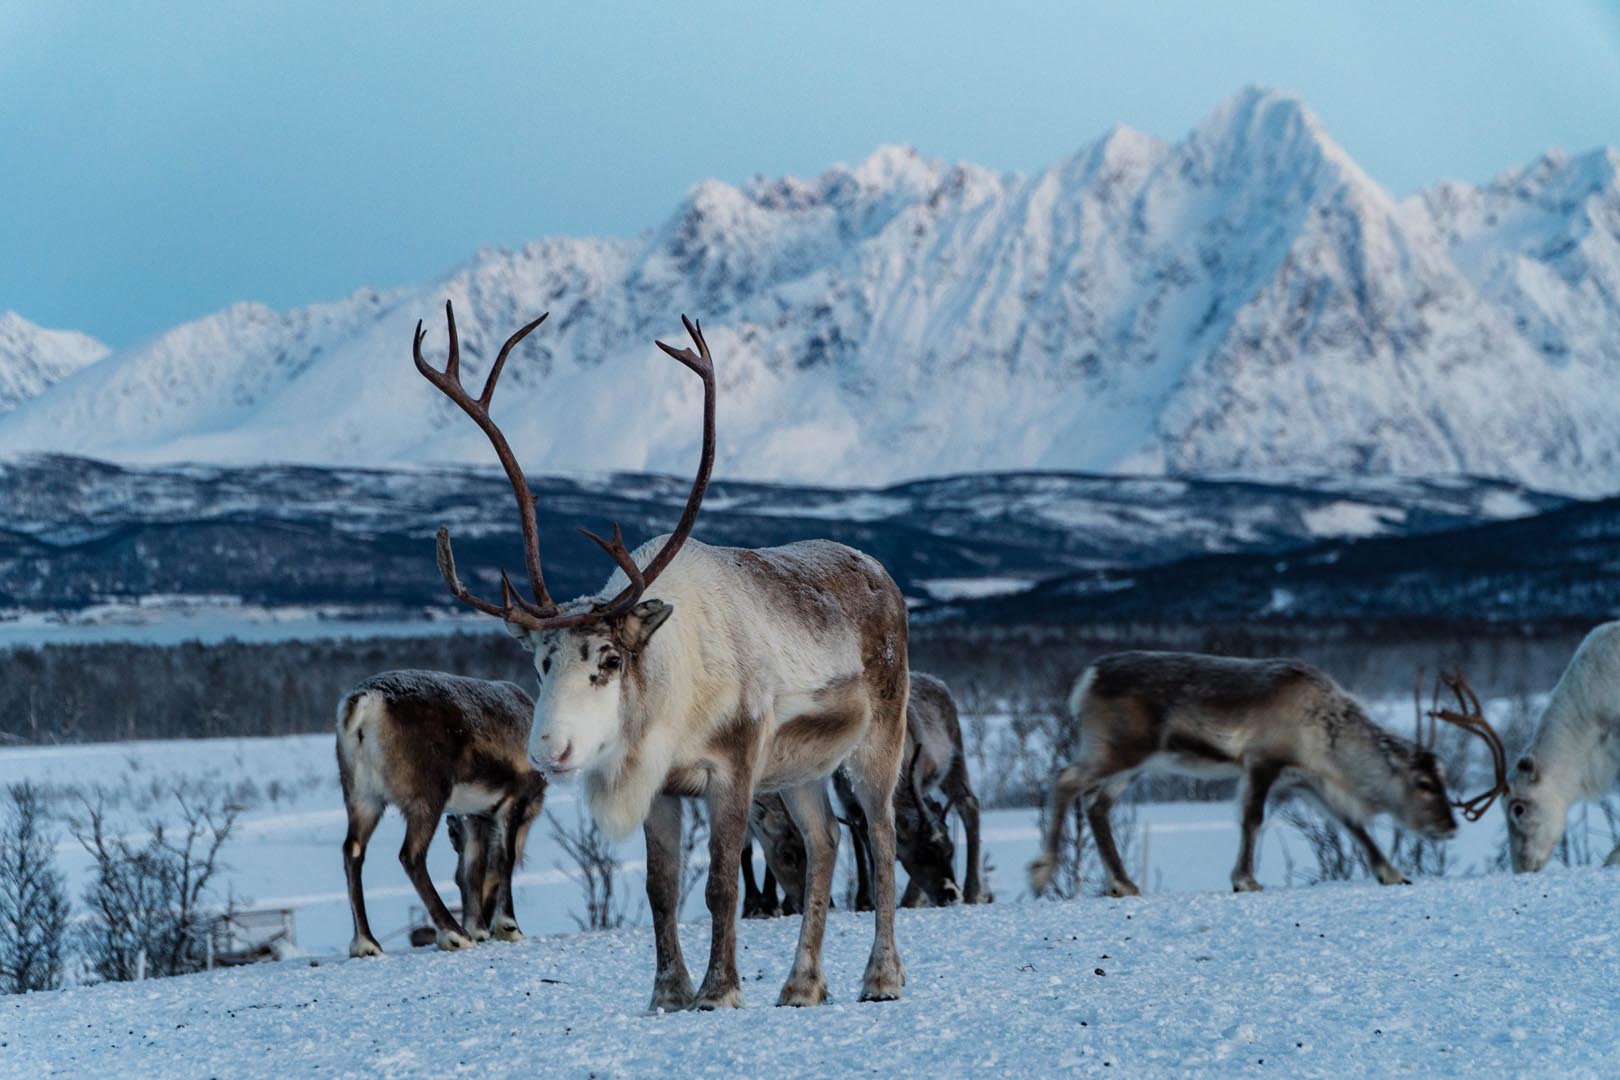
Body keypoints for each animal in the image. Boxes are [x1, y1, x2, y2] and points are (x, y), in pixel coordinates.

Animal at [336, 670, 548, 957]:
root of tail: (365, 703)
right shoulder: (514, 801)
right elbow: (504, 860)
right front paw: (507, 926)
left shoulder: (472, 814)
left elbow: (470, 869)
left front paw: (478, 928)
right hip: (426, 797)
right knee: (410, 854)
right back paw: (453, 934)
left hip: (362, 797)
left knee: (353, 850)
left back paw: (365, 943)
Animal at [413, 302, 909, 1009]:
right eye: (541, 662)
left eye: (610, 660)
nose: (550, 751)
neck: (669, 697)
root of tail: (882, 575)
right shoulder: (657, 785)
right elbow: (660, 890)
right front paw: (667, 993)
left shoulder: (734, 766)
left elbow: (721, 884)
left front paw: (718, 990)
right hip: (800, 769)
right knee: (827, 840)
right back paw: (802, 984)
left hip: (879, 738)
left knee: (882, 833)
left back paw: (881, 976)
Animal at [1027, 652, 1506, 898]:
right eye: (1423, 784)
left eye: (1443, 779)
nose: (1449, 826)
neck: (1327, 737)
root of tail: (1086, 680)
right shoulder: (1262, 760)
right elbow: (1252, 818)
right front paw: (1245, 879)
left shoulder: (1307, 779)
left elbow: (1352, 823)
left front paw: (1391, 872)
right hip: (1118, 748)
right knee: (1065, 781)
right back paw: (1041, 874)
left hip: (1137, 763)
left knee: (1096, 804)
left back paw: (1124, 883)